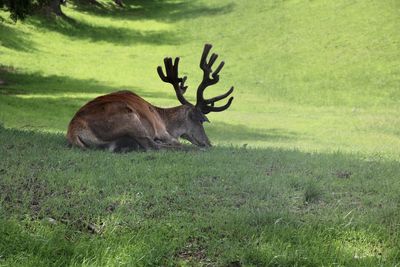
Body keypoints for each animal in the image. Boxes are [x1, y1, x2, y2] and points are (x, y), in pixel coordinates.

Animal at [66, 44, 234, 153]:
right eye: (201, 120)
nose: (208, 142)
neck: (164, 118)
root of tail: (74, 130)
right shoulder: (162, 130)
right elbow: (174, 140)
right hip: (129, 118)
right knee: (152, 145)